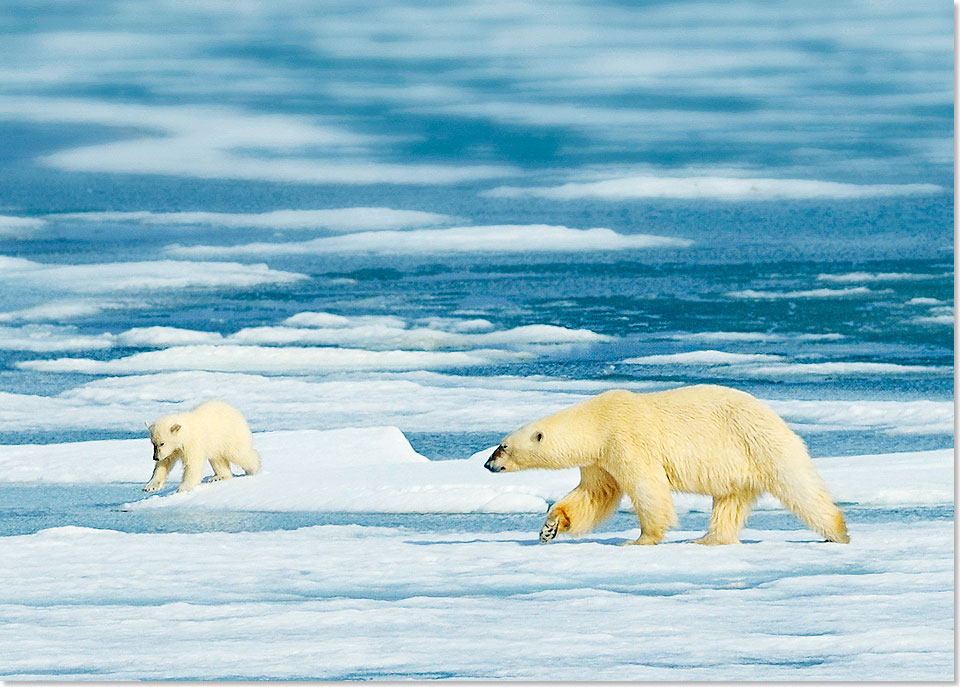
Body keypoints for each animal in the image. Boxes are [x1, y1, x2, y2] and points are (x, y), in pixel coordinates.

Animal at [488, 384, 848, 544]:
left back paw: (837, 532)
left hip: (758, 444)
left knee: (799, 487)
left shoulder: (626, 439)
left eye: (503, 446)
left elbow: (647, 488)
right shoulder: (600, 459)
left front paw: (640, 539)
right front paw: (549, 527)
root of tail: (777, 418)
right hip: (737, 465)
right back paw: (707, 540)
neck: (597, 422)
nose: (488, 465)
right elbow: (594, 493)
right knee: (730, 501)